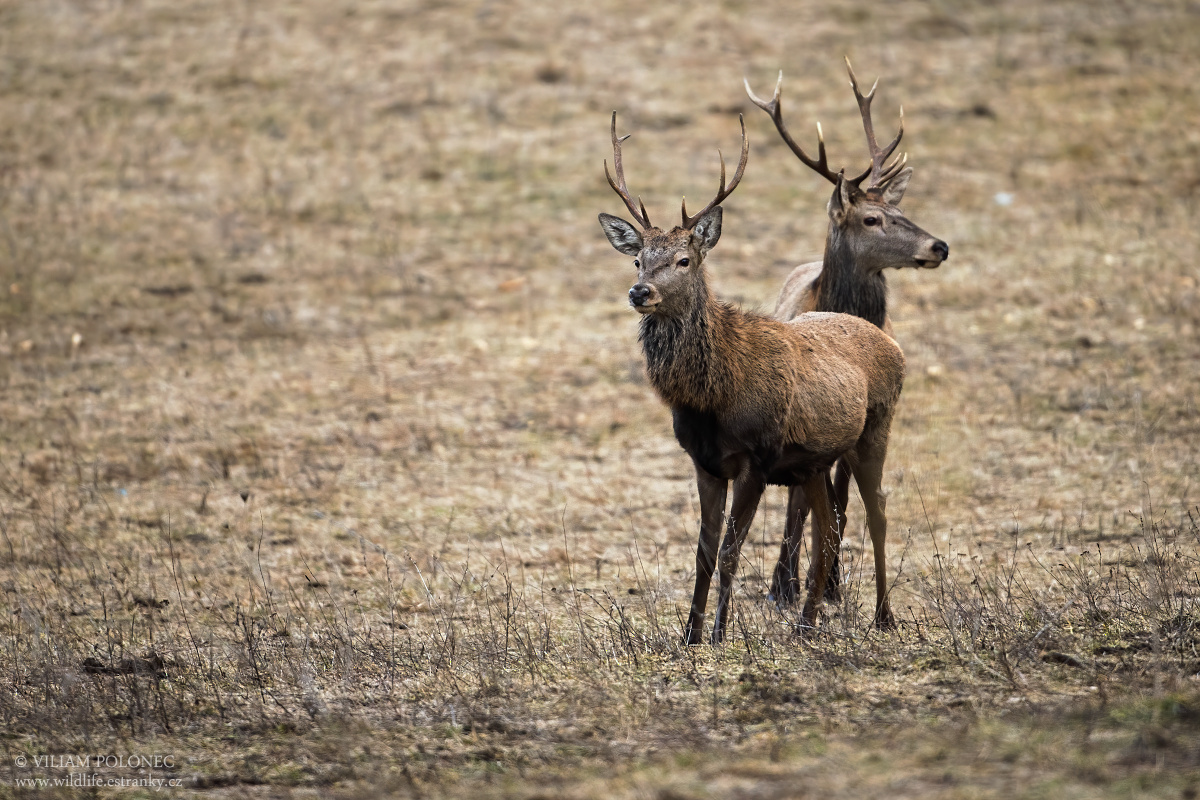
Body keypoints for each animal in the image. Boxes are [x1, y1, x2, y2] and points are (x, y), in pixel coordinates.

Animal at [595, 112, 902, 642]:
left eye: (684, 260)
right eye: (637, 259)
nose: (639, 291)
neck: (711, 396)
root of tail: (891, 343)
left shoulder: (756, 458)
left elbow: (729, 552)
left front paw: (720, 634)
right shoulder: (704, 462)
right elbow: (702, 553)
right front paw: (690, 636)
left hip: (875, 431)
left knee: (878, 511)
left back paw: (884, 616)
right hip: (813, 462)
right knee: (826, 526)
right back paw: (805, 623)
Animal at [744, 59, 950, 606]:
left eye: (903, 210)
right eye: (872, 217)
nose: (939, 246)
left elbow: (837, 498)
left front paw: (831, 581)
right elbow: (799, 499)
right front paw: (783, 585)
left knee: (838, 492)